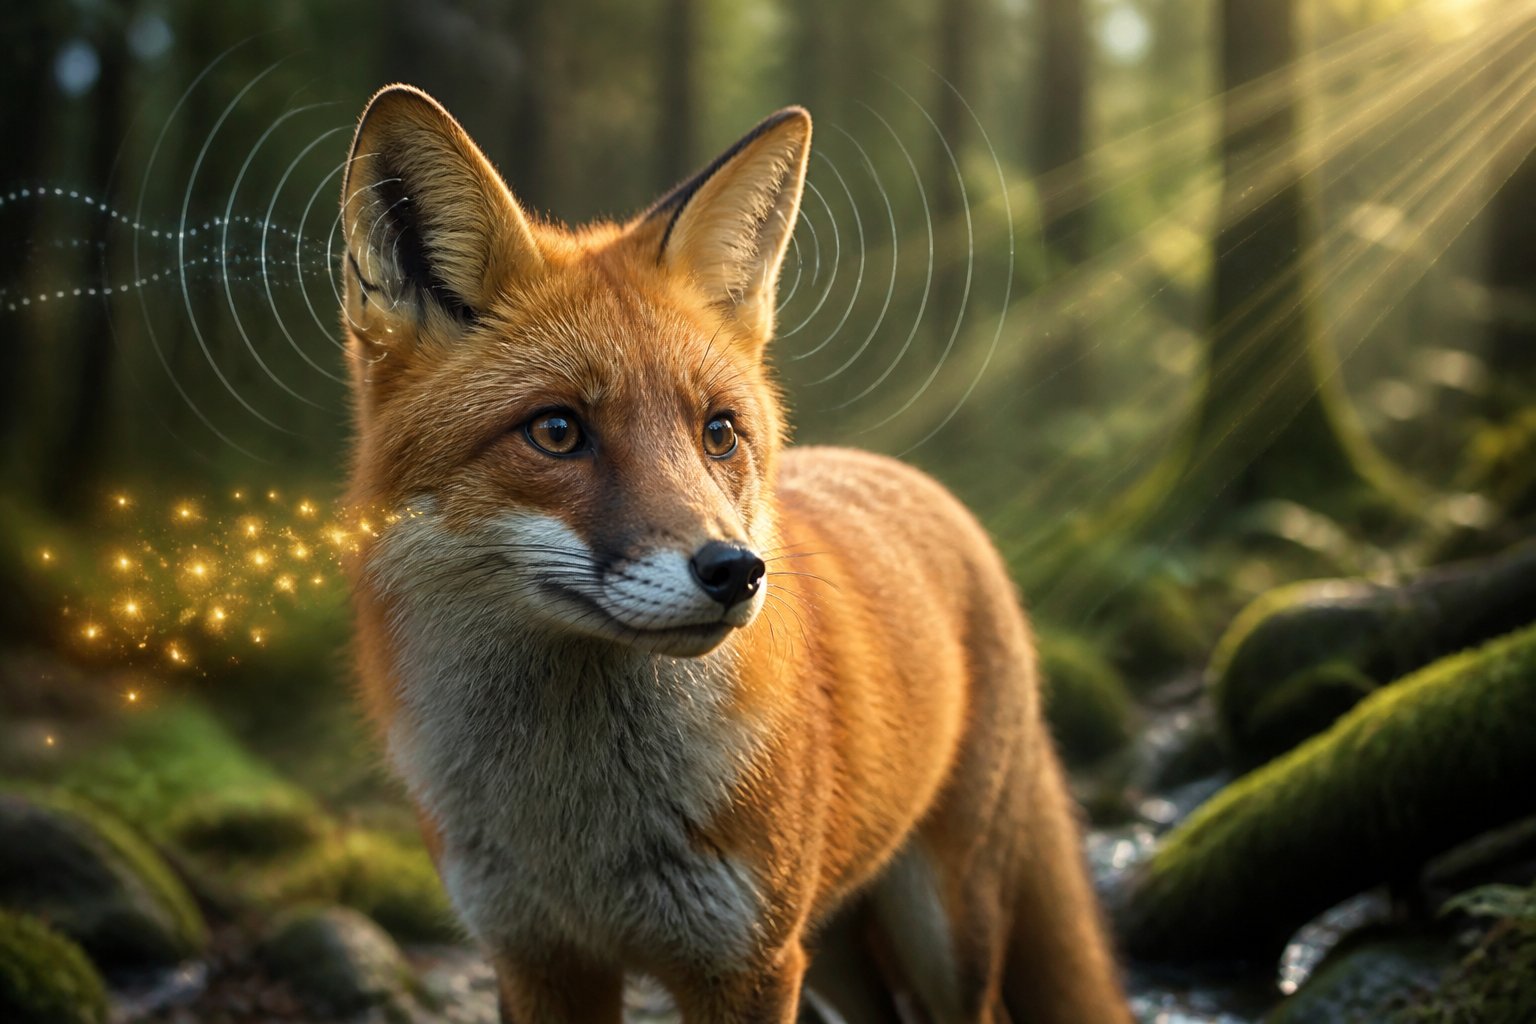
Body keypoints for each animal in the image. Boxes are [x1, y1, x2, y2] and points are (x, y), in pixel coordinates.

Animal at [339, 83, 1130, 1024]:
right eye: (557, 431)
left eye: (718, 432)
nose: (735, 570)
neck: (581, 833)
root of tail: (907, 475)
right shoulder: (539, 957)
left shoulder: (743, 963)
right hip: (830, 950)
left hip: (941, 930)